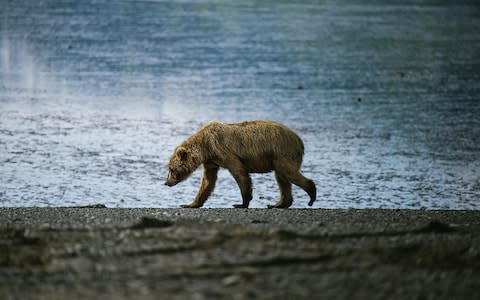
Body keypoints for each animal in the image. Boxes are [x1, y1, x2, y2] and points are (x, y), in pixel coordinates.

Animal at [163, 119, 316, 209]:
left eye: (171, 169)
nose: (166, 182)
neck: (205, 147)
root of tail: (299, 139)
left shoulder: (226, 152)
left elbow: (240, 174)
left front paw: (241, 203)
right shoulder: (211, 161)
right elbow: (208, 181)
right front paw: (190, 204)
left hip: (282, 151)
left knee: (287, 172)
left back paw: (311, 194)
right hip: (278, 156)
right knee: (282, 178)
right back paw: (278, 204)